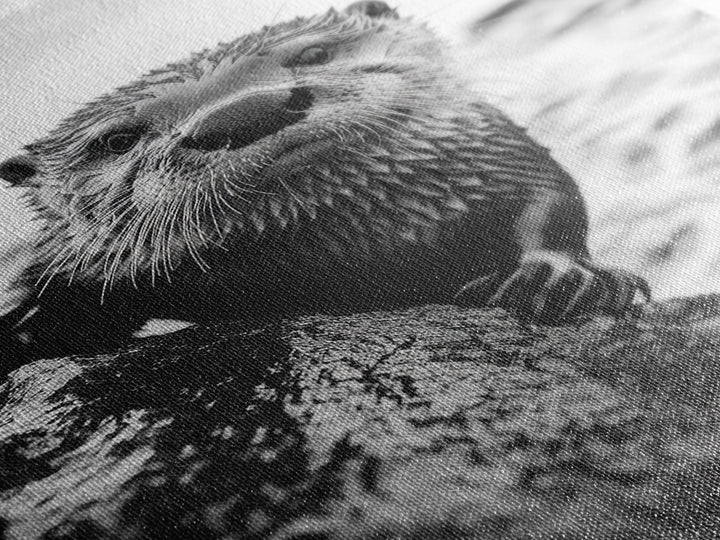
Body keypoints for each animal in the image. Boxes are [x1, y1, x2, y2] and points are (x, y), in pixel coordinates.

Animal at [0, 1, 648, 365]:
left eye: (314, 53)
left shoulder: (493, 145)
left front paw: (558, 277)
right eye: (117, 140)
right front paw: (30, 317)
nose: (244, 112)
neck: (365, 255)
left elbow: (550, 199)